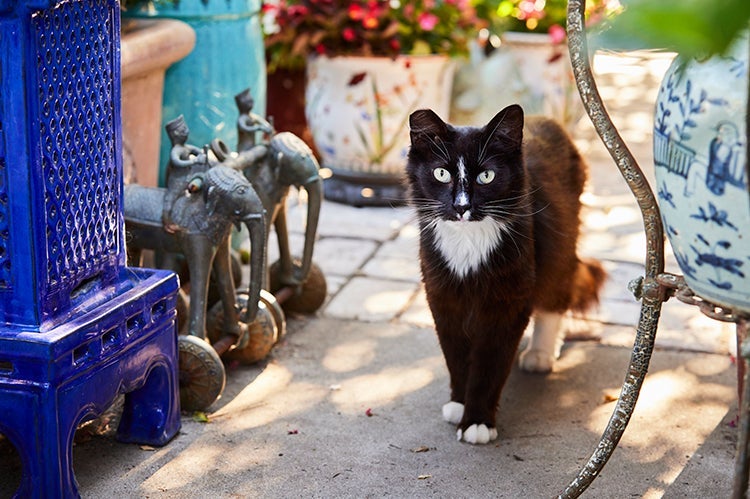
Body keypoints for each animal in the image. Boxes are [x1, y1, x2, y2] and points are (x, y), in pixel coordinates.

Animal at [406, 104, 604, 446]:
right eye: (441, 173)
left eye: (486, 176)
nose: (462, 207)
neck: (468, 242)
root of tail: (548, 120)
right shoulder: (443, 299)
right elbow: (456, 358)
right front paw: (459, 404)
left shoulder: (507, 305)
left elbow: (489, 366)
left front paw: (477, 421)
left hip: (559, 248)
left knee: (555, 300)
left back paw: (540, 353)